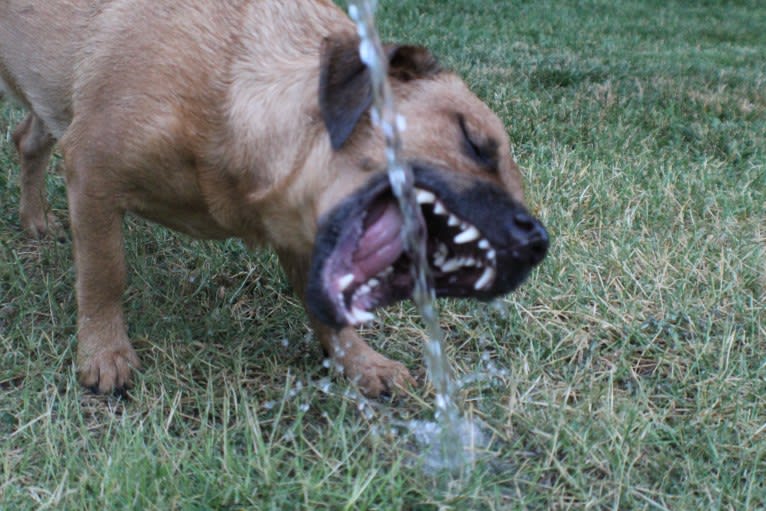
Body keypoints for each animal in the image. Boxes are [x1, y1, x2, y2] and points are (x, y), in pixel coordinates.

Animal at [1, 0, 552, 398]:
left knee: (27, 139)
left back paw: (35, 218)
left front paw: (360, 362)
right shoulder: (93, 176)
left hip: (51, 100)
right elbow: (104, 274)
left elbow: (330, 316)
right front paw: (105, 352)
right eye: (474, 143)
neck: (234, 92)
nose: (538, 238)